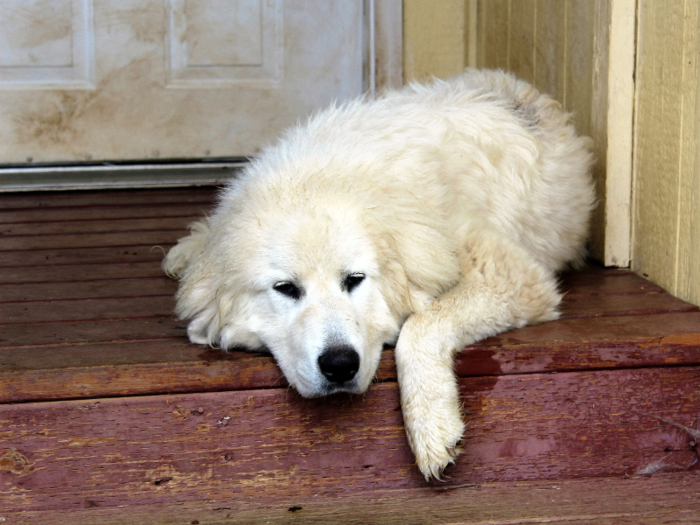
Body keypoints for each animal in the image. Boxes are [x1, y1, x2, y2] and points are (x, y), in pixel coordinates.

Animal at [164, 68, 596, 478]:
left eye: (354, 280)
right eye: (285, 288)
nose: (340, 364)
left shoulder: (510, 276)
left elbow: (421, 325)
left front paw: (430, 424)